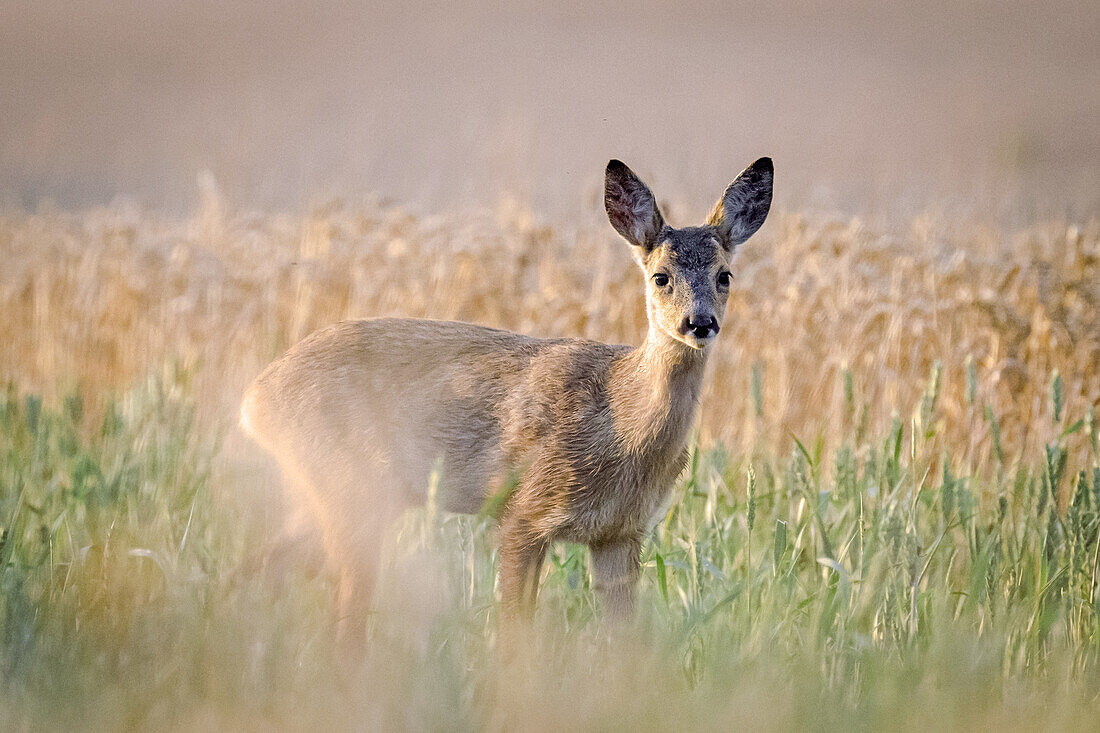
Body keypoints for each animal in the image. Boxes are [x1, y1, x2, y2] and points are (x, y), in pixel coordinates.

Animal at [240, 157, 774, 638]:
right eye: (661, 276)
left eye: (725, 275)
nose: (699, 323)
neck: (621, 421)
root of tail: (253, 398)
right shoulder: (524, 510)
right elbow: (514, 632)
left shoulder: (620, 533)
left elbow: (622, 641)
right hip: (350, 492)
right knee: (339, 615)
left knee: (263, 566)